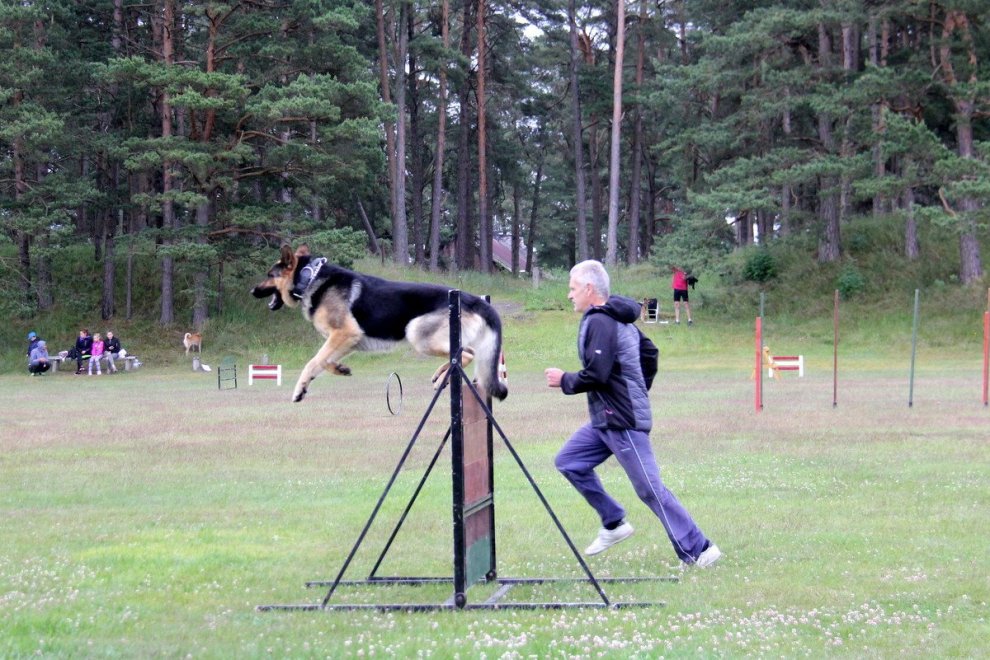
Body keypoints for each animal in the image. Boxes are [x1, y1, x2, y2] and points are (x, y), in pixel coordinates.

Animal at [252, 244, 509, 403]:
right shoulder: (345, 341)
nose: (251, 291)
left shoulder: (345, 334)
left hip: (417, 333)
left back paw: (443, 375)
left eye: (269, 275)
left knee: (466, 354)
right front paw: (339, 368)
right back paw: (440, 375)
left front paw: (299, 389)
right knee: (465, 353)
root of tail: (471, 297)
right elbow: (323, 360)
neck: (310, 279)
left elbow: (313, 361)